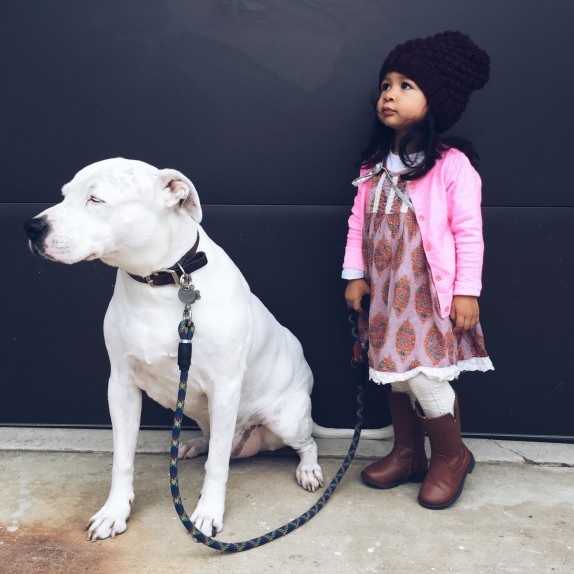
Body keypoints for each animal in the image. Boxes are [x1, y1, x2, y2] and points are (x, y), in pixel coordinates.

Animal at [24, 158, 323, 541]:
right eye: (64, 195)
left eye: (95, 199)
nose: (32, 227)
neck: (159, 282)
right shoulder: (121, 386)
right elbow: (122, 460)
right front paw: (114, 512)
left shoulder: (225, 387)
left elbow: (217, 467)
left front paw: (208, 513)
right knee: (214, 441)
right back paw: (193, 445)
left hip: (286, 420)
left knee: (305, 444)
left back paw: (308, 469)